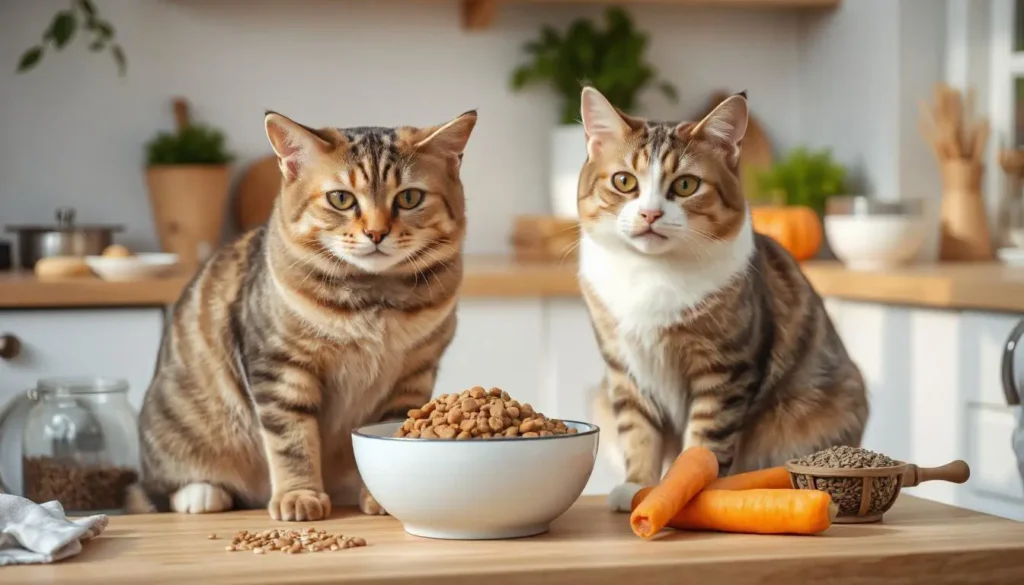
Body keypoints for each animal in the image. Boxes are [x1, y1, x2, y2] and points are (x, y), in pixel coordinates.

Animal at [131, 109, 475, 522]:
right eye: (341, 198)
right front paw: (299, 496)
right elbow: (291, 440)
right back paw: (201, 495)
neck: (374, 299)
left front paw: (378, 497)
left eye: (409, 197)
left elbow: (391, 426)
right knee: (157, 490)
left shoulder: (413, 375)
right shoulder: (280, 367)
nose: (377, 233)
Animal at [577, 86, 864, 481]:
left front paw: (690, 487)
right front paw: (636, 487)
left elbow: (706, 440)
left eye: (686, 185)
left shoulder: (727, 368)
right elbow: (638, 433)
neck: (651, 272)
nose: (650, 214)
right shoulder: (623, 367)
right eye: (624, 181)